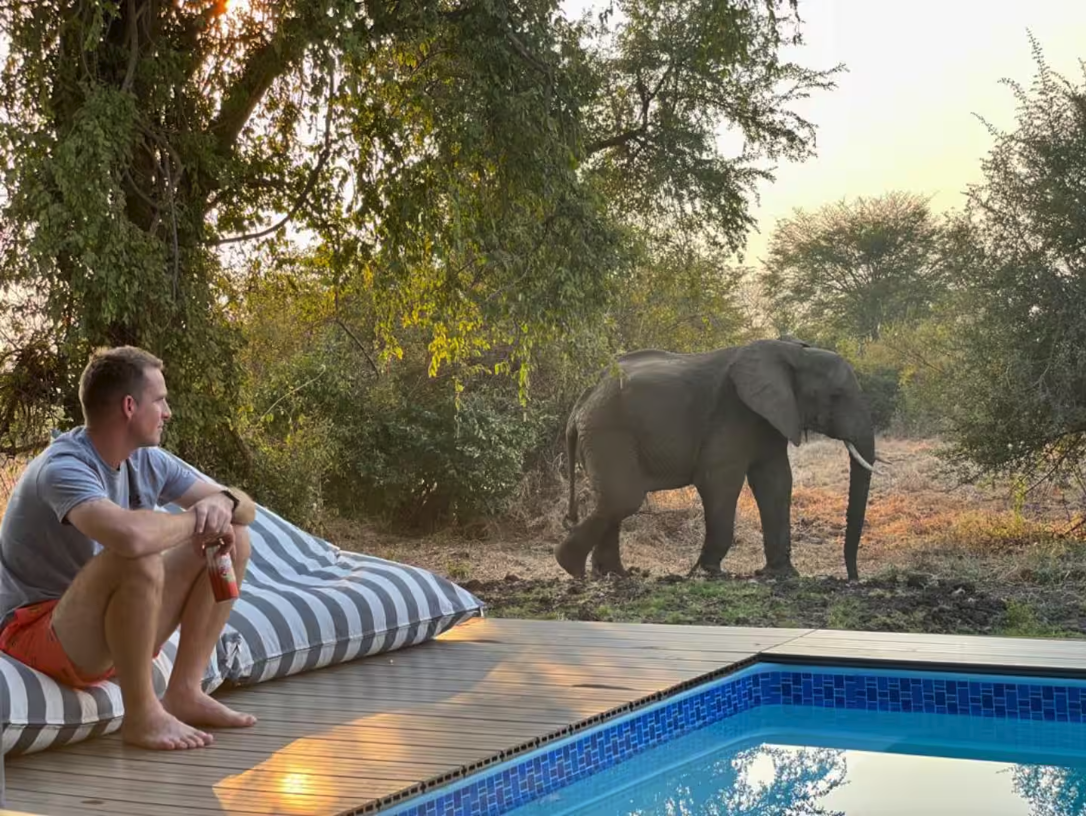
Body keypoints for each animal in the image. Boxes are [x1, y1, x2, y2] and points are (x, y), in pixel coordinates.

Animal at [556, 338, 877, 581]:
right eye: (836, 396)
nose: (853, 578)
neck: (792, 352)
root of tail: (584, 398)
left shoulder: (769, 419)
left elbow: (776, 481)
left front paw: (781, 574)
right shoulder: (731, 412)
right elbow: (719, 480)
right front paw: (706, 572)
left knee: (615, 500)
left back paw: (614, 574)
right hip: (608, 431)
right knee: (623, 498)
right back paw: (571, 567)